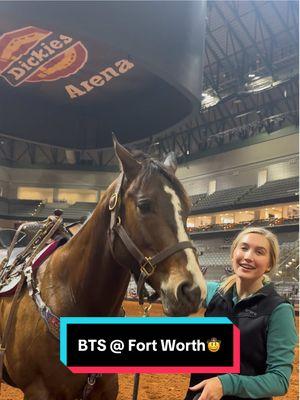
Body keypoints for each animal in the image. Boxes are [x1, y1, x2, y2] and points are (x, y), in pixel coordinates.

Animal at [0, 138, 206, 400]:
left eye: (187, 209)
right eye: (144, 205)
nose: (192, 290)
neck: (69, 293)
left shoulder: (107, 390)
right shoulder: (38, 391)